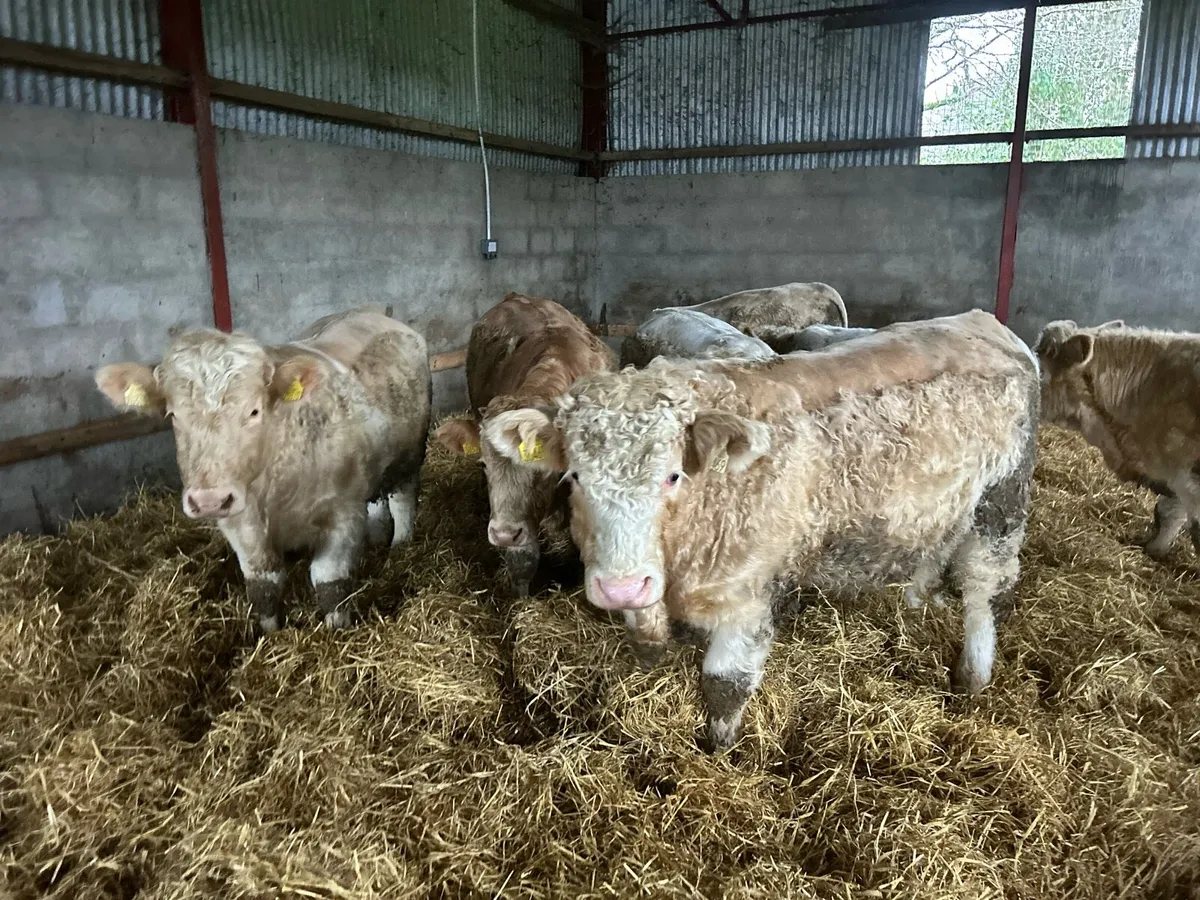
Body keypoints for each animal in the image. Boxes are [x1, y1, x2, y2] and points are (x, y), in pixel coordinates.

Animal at [94, 308, 431, 632]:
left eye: (254, 411)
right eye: (173, 415)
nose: (208, 501)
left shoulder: (343, 513)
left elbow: (330, 582)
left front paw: (337, 632)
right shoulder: (240, 524)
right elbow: (263, 585)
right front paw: (270, 634)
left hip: (410, 454)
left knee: (402, 499)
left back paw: (401, 545)